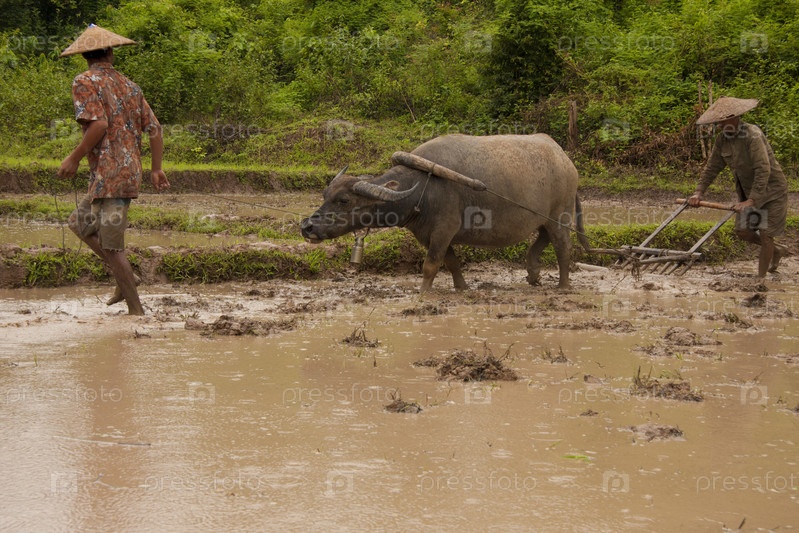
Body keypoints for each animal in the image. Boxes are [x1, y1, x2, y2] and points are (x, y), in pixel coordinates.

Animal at [301, 133, 589, 292]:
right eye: (325, 195)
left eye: (344, 200)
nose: (307, 227)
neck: (423, 188)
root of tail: (565, 160)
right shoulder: (430, 235)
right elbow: (450, 262)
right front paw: (461, 287)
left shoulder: (443, 230)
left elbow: (430, 265)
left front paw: (422, 293)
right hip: (544, 219)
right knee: (542, 239)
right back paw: (533, 274)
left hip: (560, 216)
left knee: (562, 247)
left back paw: (563, 285)